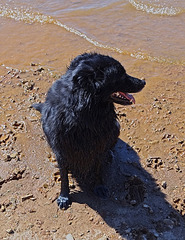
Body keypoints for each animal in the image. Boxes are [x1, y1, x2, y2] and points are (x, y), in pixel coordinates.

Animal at [33, 52, 146, 208]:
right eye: (121, 75)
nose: (143, 82)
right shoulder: (61, 148)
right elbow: (64, 175)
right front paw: (64, 196)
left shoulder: (99, 145)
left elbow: (98, 168)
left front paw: (99, 186)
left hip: (116, 128)